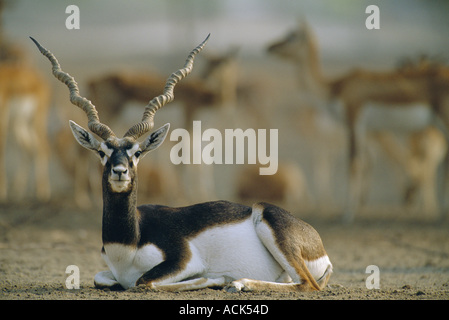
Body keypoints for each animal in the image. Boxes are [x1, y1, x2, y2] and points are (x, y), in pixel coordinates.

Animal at [29, 35, 330, 292]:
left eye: (137, 153)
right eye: (103, 152)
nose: (120, 171)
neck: (129, 241)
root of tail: (319, 245)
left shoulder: (182, 259)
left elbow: (144, 281)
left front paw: (215, 279)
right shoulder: (107, 273)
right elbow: (102, 278)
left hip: (272, 228)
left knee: (307, 285)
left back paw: (238, 283)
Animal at [268, 21, 446, 222]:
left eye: (292, 35)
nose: (270, 47)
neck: (337, 87)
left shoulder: (353, 123)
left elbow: (353, 163)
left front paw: (347, 214)